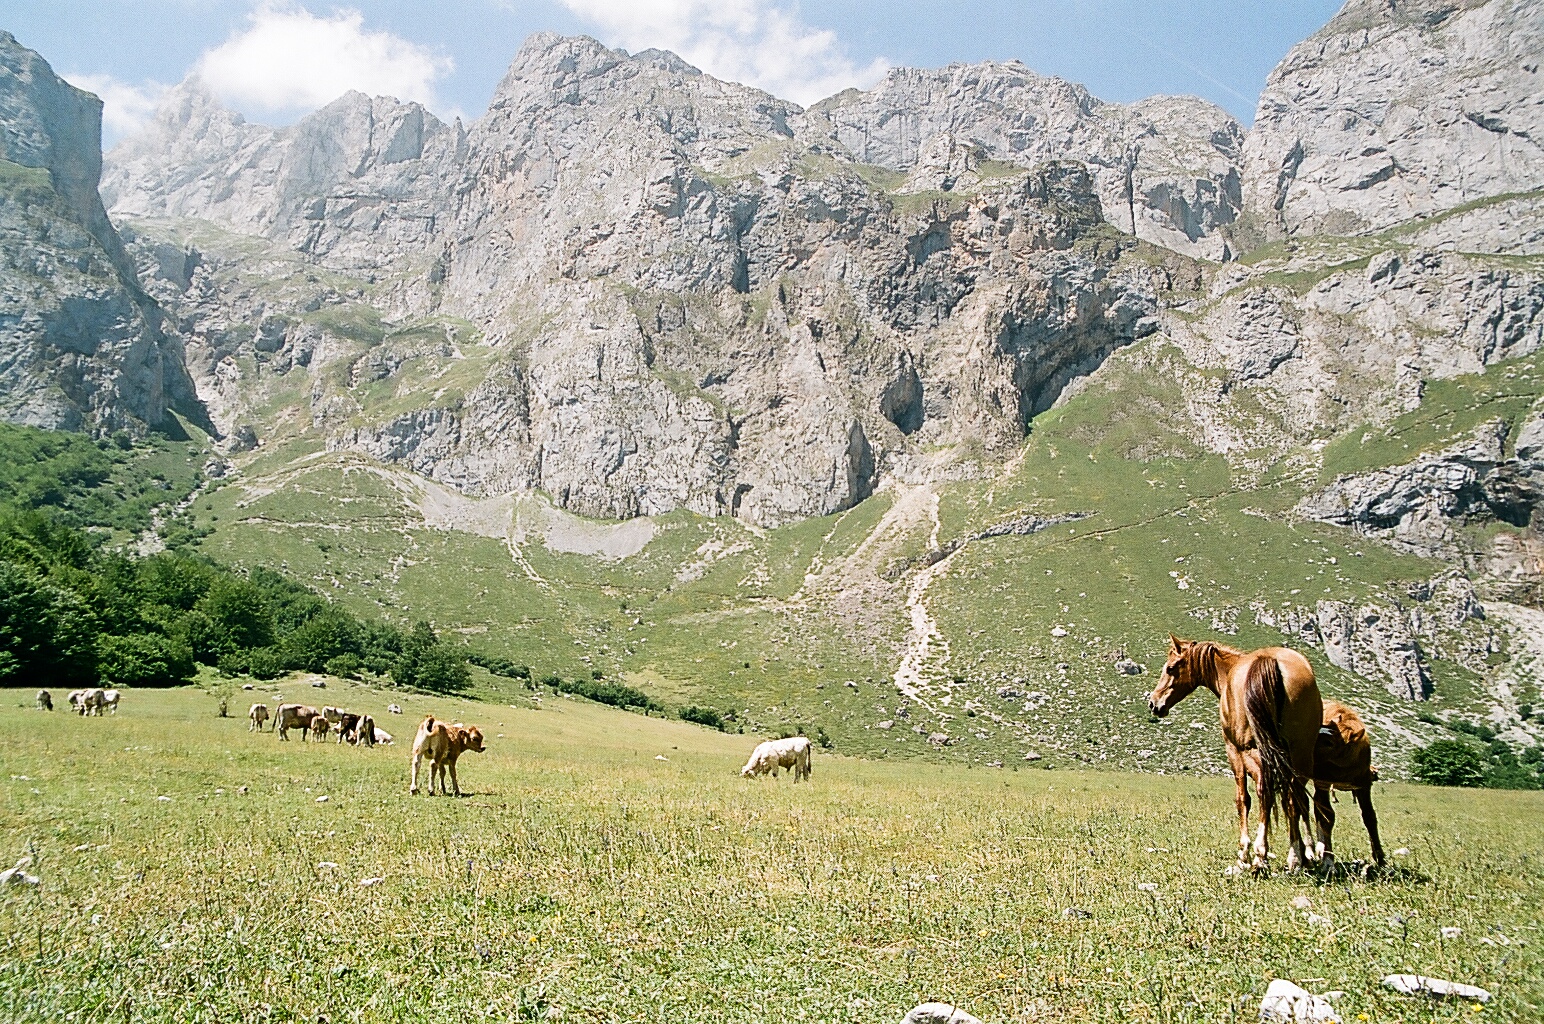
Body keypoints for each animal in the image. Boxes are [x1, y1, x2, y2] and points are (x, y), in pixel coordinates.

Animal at [1154, 642, 1321, 871]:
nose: (1153, 703)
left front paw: (1244, 854)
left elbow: (1243, 799)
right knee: (1295, 798)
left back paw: (1261, 855)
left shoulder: (1233, 750)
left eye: (1170, 668)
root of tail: (1268, 661)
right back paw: (1296, 856)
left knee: (1266, 793)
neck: (1229, 671)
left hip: (1256, 751)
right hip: (1301, 753)